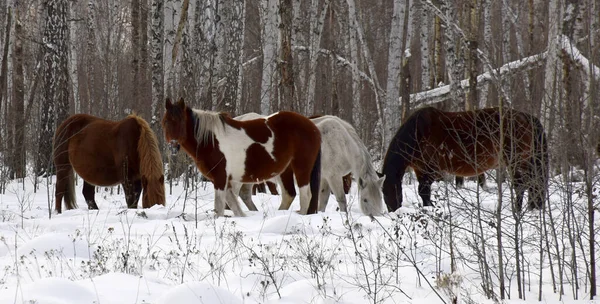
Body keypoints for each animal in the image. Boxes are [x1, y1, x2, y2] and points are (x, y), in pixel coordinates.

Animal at [163, 97, 324, 216]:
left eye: (181, 121)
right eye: (165, 122)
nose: (172, 146)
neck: (211, 140)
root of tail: (313, 127)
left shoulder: (220, 178)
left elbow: (220, 208)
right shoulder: (225, 180)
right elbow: (234, 205)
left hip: (301, 169)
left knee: (305, 196)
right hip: (285, 171)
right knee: (288, 195)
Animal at [236, 113, 384, 216]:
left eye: (380, 198)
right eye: (365, 200)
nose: (376, 217)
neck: (342, 143)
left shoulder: (324, 178)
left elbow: (323, 199)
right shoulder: (334, 177)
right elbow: (341, 199)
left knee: (245, 194)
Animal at [380, 106, 548, 211]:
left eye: (388, 192)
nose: (393, 211)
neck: (419, 133)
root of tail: (526, 117)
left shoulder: (430, 170)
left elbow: (424, 192)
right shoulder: (420, 170)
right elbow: (424, 192)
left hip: (516, 161)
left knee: (520, 186)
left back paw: (517, 211)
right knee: (533, 184)